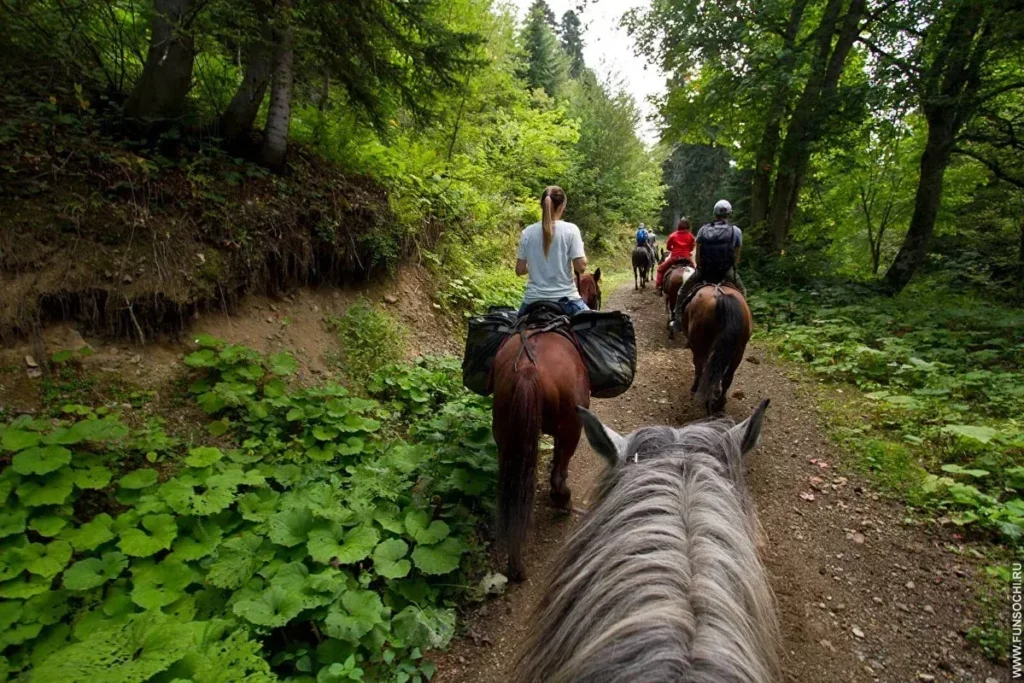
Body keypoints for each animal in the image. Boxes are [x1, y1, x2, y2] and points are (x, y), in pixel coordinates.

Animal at [489, 323, 589, 581]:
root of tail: (527, 368)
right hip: (573, 427)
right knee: (558, 474)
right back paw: (563, 501)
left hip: (505, 433)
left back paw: (516, 566)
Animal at [679, 284, 753, 413]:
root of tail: (721, 295)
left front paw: (694, 387)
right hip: (739, 351)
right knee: (727, 377)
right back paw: (719, 404)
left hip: (702, 347)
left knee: (705, 370)